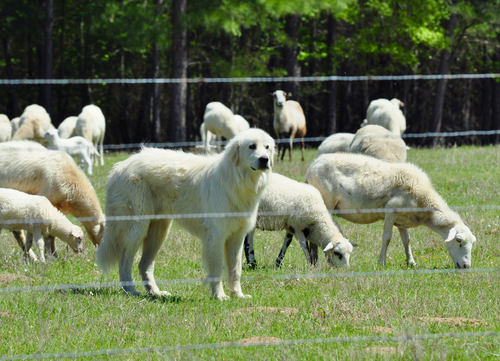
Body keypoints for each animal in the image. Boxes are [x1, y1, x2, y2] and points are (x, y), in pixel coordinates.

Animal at [95, 128, 276, 300]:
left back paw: (156, 293)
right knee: (124, 262)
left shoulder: (237, 237)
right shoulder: (216, 236)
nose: (264, 160)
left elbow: (235, 270)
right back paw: (131, 291)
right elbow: (217, 269)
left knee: (144, 265)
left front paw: (238, 295)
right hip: (137, 229)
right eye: (252, 146)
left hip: (158, 232)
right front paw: (219, 296)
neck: (237, 179)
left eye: (267, 147)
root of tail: (119, 167)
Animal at [304, 152, 476, 268]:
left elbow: (407, 241)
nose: (466, 267)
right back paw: (315, 262)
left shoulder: (403, 220)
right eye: (459, 240)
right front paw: (381, 262)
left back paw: (314, 261)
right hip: (325, 203)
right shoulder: (391, 211)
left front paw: (411, 263)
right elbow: (386, 238)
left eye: (472, 243)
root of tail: (312, 166)